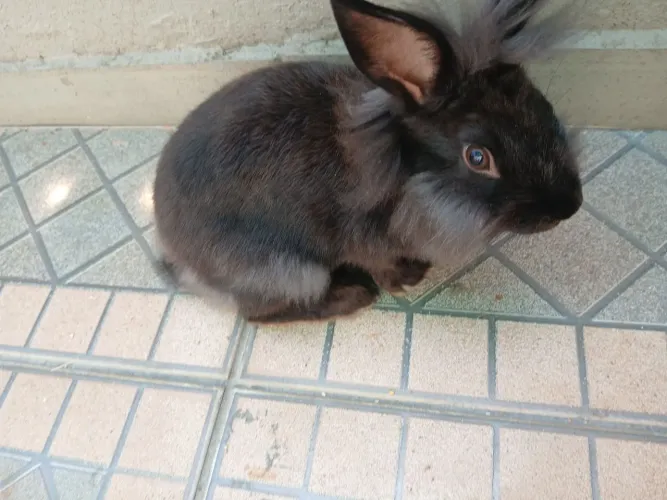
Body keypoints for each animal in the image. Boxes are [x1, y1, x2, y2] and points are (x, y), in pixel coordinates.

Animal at [153, 0, 583, 325]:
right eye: (477, 157)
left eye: (543, 106)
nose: (569, 206)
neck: (399, 168)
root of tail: (175, 251)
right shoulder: (362, 240)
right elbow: (381, 265)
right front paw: (408, 277)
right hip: (288, 270)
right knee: (260, 313)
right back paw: (353, 296)